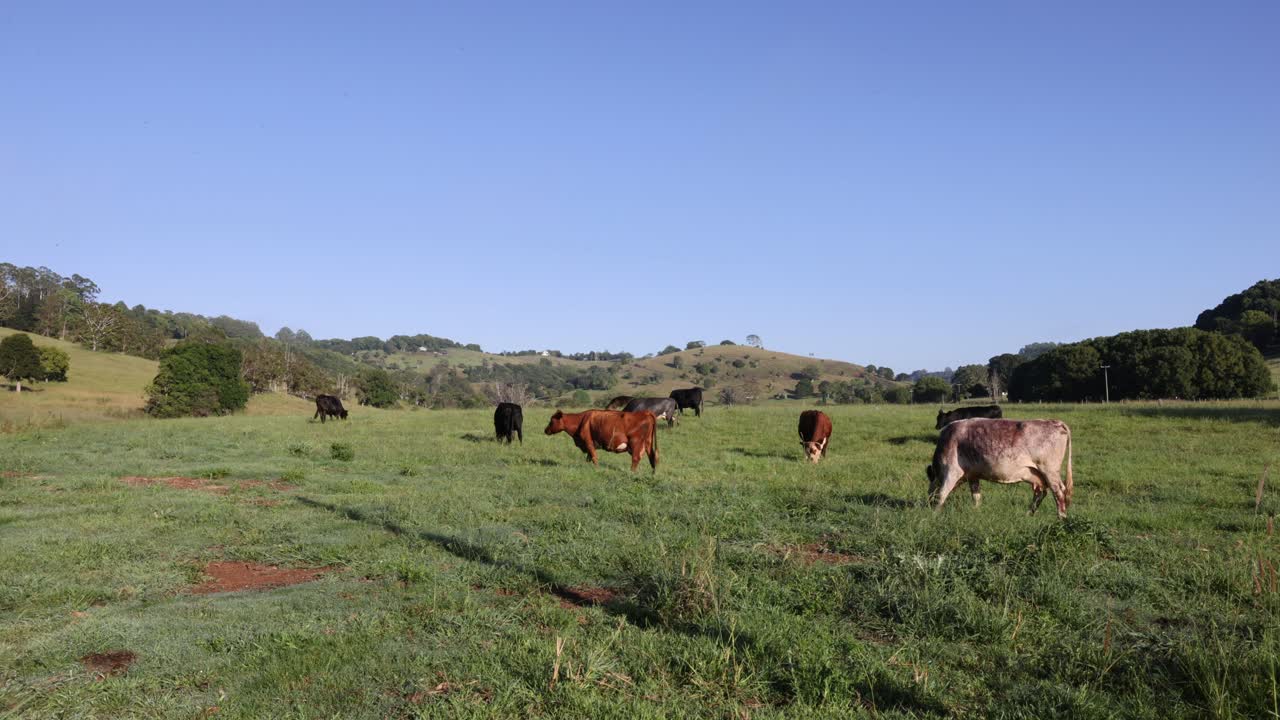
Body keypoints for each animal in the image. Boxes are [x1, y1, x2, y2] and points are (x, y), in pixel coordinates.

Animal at [926, 418, 1073, 518]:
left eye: (929, 493)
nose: (928, 505)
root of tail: (1054, 422)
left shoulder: (951, 470)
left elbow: (941, 494)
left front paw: (935, 514)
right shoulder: (973, 475)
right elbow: (976, 496)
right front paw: (976, 512)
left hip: (1050, 471)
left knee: (1059, 492)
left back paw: (1061, 517)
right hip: (1039, 475)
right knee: (1041, 493)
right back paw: (1028, 514)